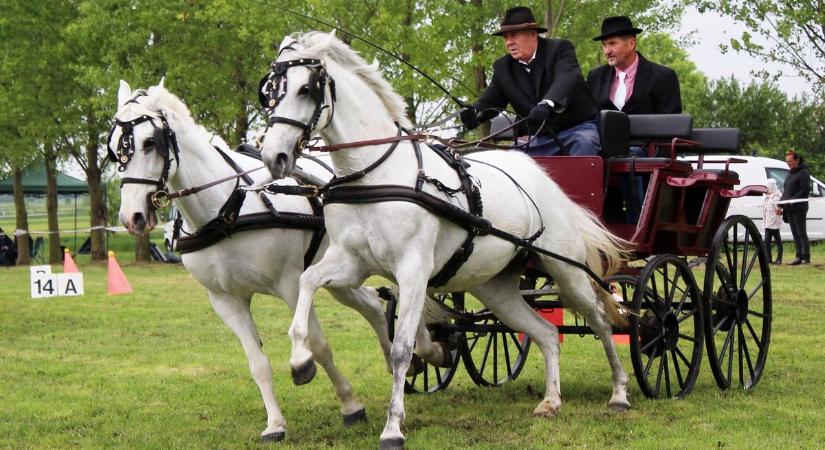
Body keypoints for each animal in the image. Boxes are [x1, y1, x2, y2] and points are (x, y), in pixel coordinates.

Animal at [108, 79, 398, 442]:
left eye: (150, 142)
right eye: (114, 148)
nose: (131, 217)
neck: (225, 211)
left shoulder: (290, 285)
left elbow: (317, 345)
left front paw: (349, 405)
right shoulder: (225, 301)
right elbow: (257, 363)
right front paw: (275, 424)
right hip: (339, 274)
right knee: (372, 304)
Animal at [262, 32, 632, 450]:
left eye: (306, 89)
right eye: (271, 92)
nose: (273, 155)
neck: (375, 173)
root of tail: (542, 175)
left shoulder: (413, 268)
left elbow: (402, 349)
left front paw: (393, 427)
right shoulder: (351, 262)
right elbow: (308, 284)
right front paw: (300, 362)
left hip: (566, 270)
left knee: (600, 320)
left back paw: (619, 392)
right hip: (496, 288)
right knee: (549, 334)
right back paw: (550, 401)